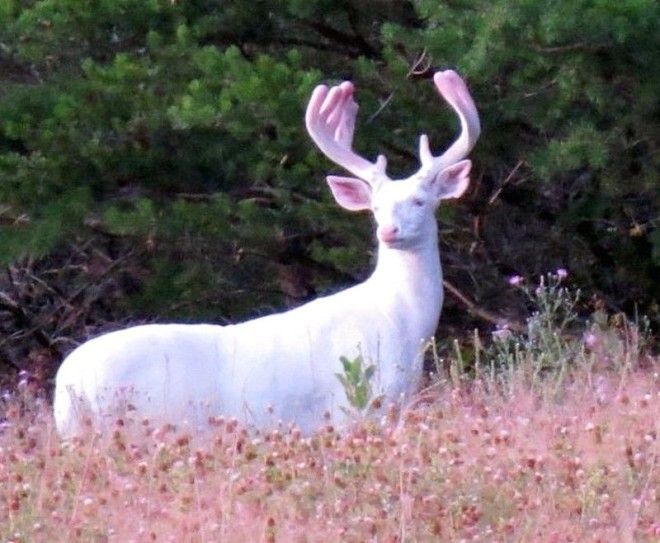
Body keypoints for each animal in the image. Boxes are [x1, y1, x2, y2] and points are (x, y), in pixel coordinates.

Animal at [52, 71, 480, 438]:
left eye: (420, 201)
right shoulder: (354, 407)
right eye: (375, 207)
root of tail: (68, 383)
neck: (403, 322)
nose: (388, 231)